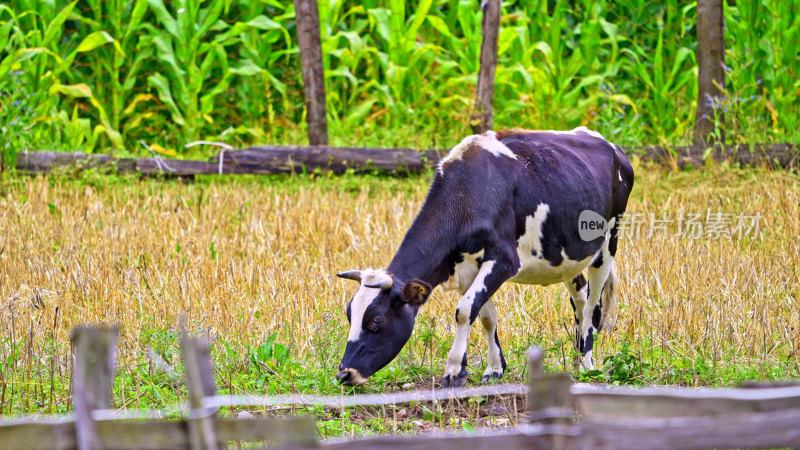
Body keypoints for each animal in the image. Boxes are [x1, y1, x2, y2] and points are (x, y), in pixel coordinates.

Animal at [334, 126, 636, 386]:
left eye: (376, 321)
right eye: (350, 315)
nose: (344, 374)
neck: (469, 194)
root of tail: (611, 146)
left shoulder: (503, 261)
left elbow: (465, 311)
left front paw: (454, 370)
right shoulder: (466, 268)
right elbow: (485, 315)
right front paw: (494, 369)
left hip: (609, 241)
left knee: (593, 304)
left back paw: (587, 364)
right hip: (565, 257)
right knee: (580, 297)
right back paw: (575, 359)